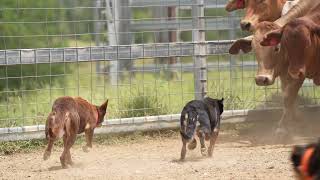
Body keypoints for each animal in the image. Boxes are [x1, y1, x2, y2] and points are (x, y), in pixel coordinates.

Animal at [229, 0, 316, 140]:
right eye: (254, 49)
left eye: (277, 47)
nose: (261, 79)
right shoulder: (286, 71)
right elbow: (287, 96)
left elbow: (289, 95)